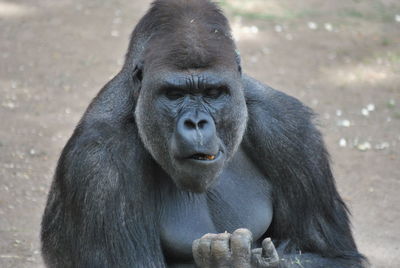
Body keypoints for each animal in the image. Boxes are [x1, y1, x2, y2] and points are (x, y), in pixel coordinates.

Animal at [40, 0, 366, 268]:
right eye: (174, 95)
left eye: (213, 93)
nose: (196, 123)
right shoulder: (97, 166)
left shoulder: (292, 130)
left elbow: (337, 257)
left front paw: (244, 263)